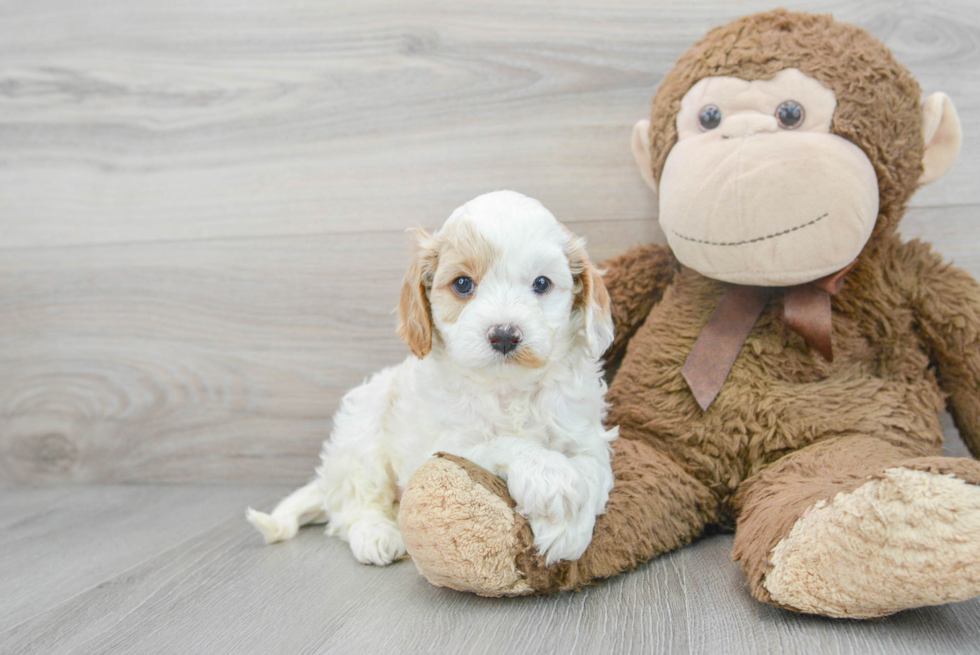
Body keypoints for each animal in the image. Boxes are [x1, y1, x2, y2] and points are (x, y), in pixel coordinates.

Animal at [247, 188, 612, 564]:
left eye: (542, 284)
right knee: (352, 506)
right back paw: (375, 533)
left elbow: (594, 471)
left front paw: (569, 530)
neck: (507, 388)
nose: (504, 335)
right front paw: (550, 476)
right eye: (463, 284)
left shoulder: (586, 436)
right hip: (361, 428)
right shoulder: (449, 447)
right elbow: (504, 443)